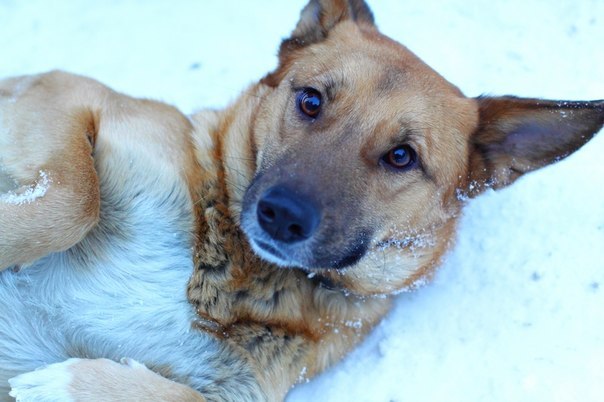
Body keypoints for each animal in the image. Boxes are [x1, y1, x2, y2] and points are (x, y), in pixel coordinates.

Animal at [1, 0, 602, 400]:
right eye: (311, 101)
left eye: (402, 156)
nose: (282, 216)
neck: (241, 271)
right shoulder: (70, 94)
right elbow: (74, 201)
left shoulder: (240, 390)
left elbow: (178, 394)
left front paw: (68, 381)